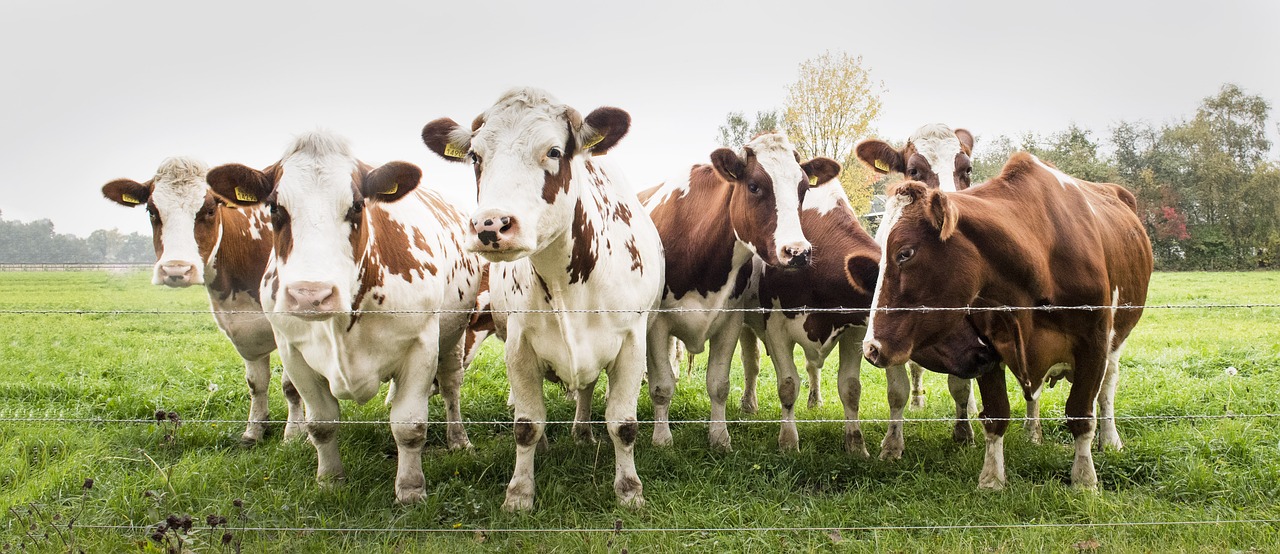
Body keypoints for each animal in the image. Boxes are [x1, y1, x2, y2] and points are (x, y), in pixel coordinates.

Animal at [101, 157, 303, 445]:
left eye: (208, 210)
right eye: (151, 211)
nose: (176, 269)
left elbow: (291, 386)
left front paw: (294, 434)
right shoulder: (243, 328)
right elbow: (256, 383)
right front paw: (254, 431)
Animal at [205, 131, 483, 504]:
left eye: (356, 206)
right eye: (274, 208)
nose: (311, 294)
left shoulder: (421, 345)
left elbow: (409, 426)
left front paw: (410, 489)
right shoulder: (293, 352)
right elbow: (321, 423)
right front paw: (329, 479)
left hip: (454, 336)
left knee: (451, 387)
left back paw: (458, 440)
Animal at [421, 87, 664, 511]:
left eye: (553, 151)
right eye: (476, 157)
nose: (490, 225)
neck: (567, 280)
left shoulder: (632, 342)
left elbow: (623, 424)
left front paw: (629, 490)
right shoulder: (519, 344)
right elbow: (526, 424)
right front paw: (519, 492)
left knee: (586, 390)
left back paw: (582, 432)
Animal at [638, 132, 839, 450]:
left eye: (804, 188)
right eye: (754, 185)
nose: (798, 252)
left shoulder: (730, 320)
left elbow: (719, 384)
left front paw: (720, 438)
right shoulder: (658, 324)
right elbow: (662, 385)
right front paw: (662, 439)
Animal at [862, 152, 1153, 489]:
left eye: (905, 253)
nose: (871, 347)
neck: (1038, 256)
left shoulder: (1093, 343)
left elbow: (1081, 412)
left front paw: (1084, 479)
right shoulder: (988, 347)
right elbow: (996, 414)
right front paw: (991, 478)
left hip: (1116, 343)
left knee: (1106, 389)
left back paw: (1110, 439)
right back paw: (1033, 432)